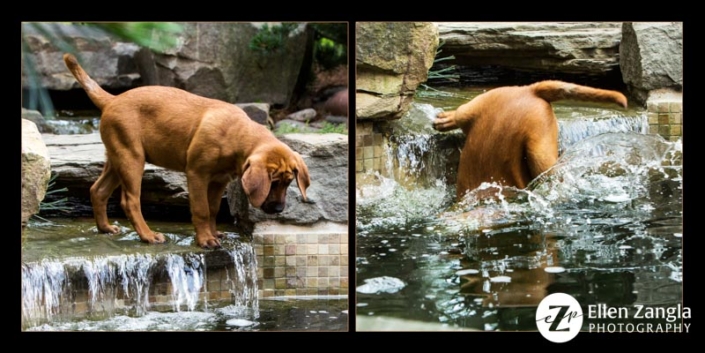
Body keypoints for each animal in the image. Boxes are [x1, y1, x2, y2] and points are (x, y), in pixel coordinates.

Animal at [62, 53, 310, 248]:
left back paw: (105, 228)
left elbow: (213, 209)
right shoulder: (197, 174)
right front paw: (206, 240)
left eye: (289, 182)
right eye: (273, 183)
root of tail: (112, 99)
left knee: (98, 190)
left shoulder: (219, 180)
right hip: (132, 158)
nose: (279, 209)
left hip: (117, 157)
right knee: (130, 201)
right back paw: (148, 235)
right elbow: (201, 209)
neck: (235, 135)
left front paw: (213, 232)